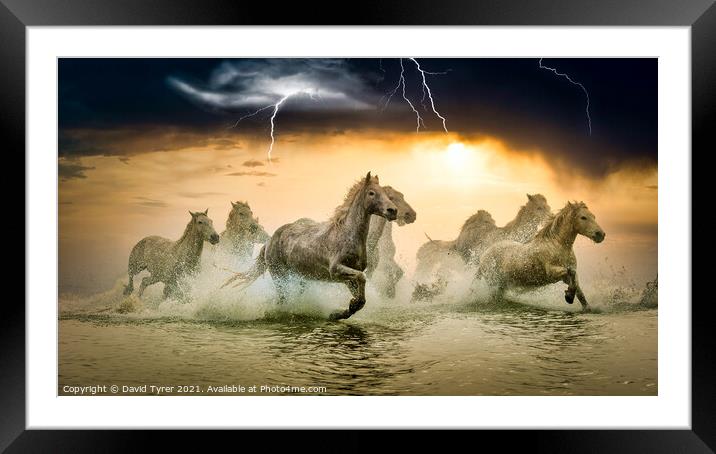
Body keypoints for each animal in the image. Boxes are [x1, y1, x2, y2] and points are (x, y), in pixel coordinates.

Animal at [222, 172, 398, 320]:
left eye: (386, 194)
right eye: (372, 193)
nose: (393, 210)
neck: (346, 234)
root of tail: (269, 241)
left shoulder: (349, 278)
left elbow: (361, 298)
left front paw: (340, 312)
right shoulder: (336, 270)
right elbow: (362, 278)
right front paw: (342, 310)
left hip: (301, 278)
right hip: (280, 276)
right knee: (282, 300)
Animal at [478, 202, 608, 312]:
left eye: (593, 216)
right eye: (583, 217)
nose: (600, 235)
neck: (557, 245)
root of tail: (484, 255)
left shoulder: (566, 276)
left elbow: (577, 285)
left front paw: (583, 306)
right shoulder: (552, 272)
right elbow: (569, 272)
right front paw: (569, 296)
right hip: (494, 284)